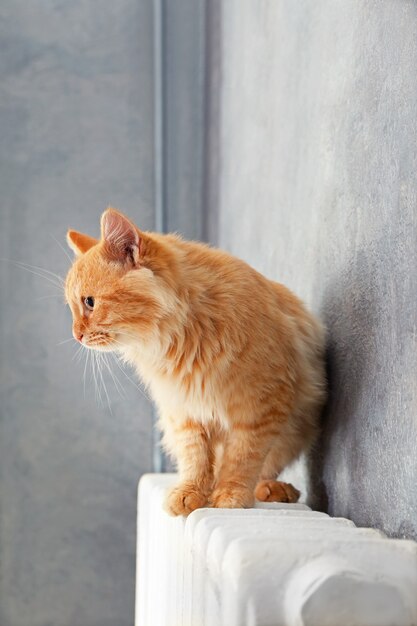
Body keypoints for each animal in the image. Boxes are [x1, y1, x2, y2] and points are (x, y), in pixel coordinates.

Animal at [65, 210, 326, 512]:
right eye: (72, 307)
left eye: (90, 302)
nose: (76, 335)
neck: (184, 338)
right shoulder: (184, 412)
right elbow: (196, 459)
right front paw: (191, 493)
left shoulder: (260, 408)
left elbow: (242, 457)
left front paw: (231, 495)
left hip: (295, 430)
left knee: (264, 468)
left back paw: (271, 489)